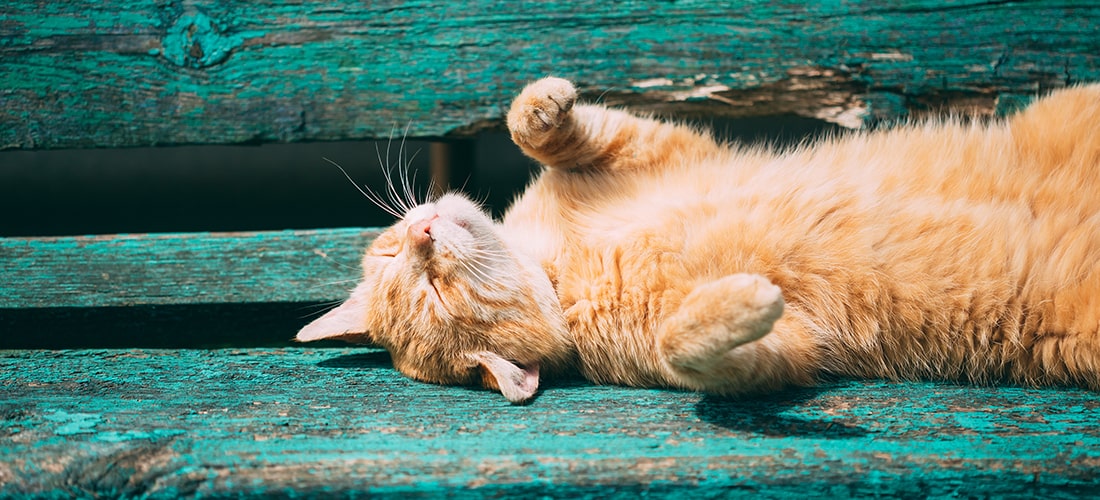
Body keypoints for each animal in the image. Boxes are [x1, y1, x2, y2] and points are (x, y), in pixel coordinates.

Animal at [294, 79, 1100, 406]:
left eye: (401, 262)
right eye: (433, 291)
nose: (423, 230)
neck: (557, 266)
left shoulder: (664, 148)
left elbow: (539, 130)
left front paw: (543, 103)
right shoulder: (787, 352)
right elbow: (691, 346)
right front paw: (742, 300)